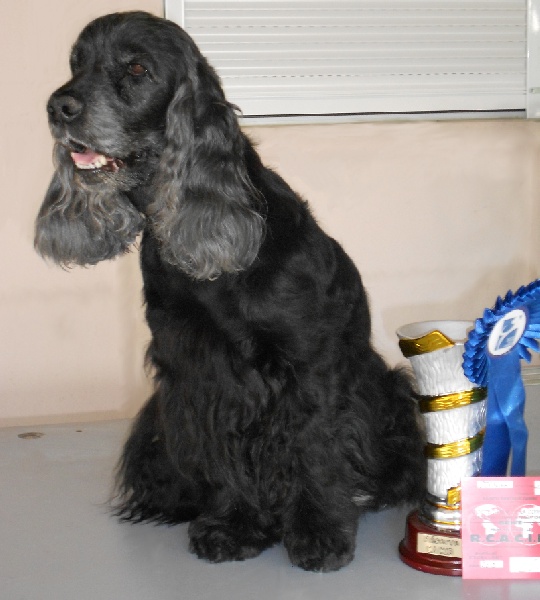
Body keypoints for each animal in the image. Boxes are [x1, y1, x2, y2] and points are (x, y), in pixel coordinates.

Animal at [35, 11, 426, 572]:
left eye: (138, 69)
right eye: (76, 64)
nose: (58, 107)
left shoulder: (309, 362)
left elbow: (315, 446)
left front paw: (320, 531)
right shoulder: (201, 371)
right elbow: (221, 453)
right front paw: (233, 525)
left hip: (386, 388)